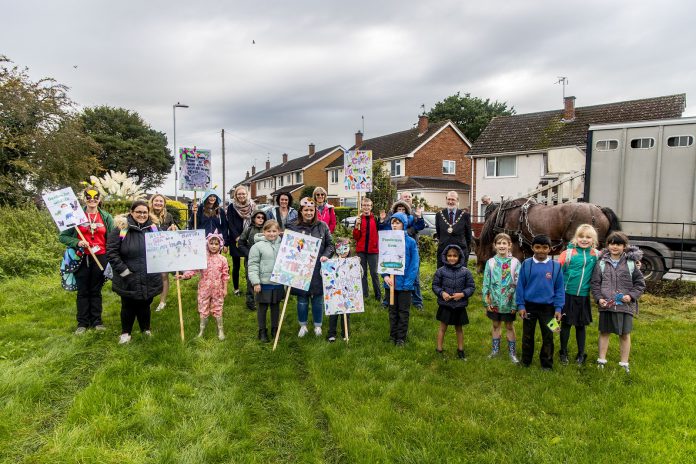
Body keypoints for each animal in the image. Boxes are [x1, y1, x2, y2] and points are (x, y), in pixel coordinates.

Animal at [474, 198, 620, 272]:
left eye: (477, 251)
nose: (479, 270)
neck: (505, 215)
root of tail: (599, 209)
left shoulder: (516, 247)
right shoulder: (527, 248)